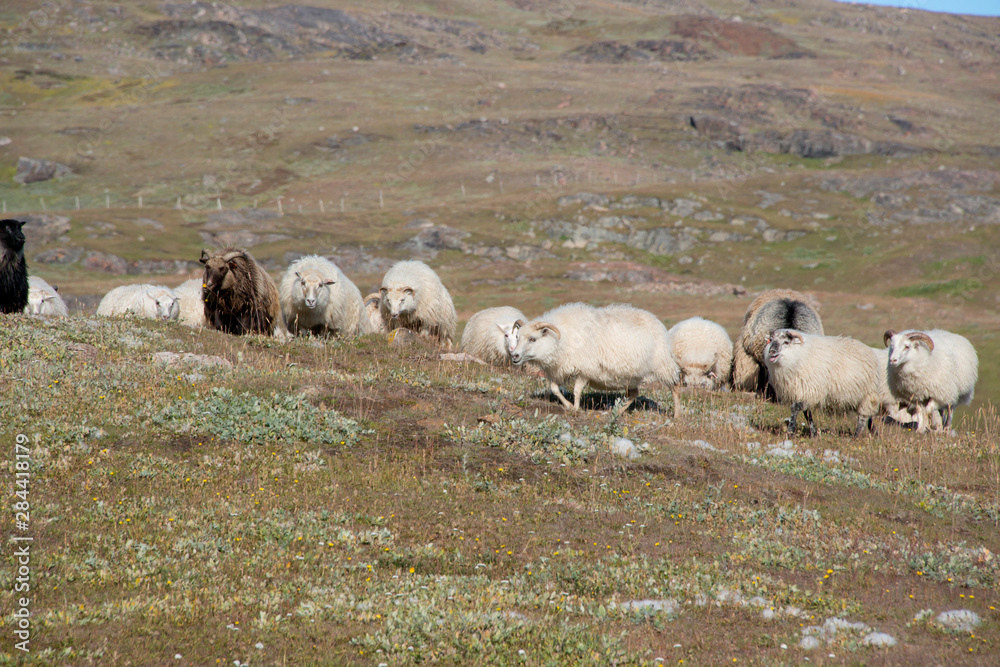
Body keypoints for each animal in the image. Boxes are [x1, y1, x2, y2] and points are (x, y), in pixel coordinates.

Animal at [509, 302, 681, 416]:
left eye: (533, 339)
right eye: (517, 337)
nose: (514, 356)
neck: (561, 338)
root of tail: (656, 321)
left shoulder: (585, 369)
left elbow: (577, 390)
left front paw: (575, 407)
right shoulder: (558, 369)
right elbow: (555, 389)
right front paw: (568, 405)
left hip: (663, 364)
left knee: (675, 387)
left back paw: (677, 415)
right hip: (630, 375)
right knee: (634, 393)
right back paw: (617, 411)